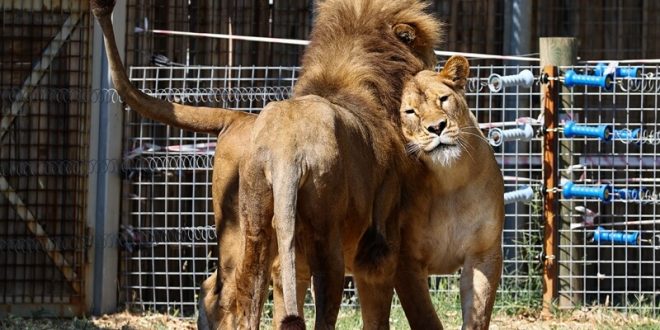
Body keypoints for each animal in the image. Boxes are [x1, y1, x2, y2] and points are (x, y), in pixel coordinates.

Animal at [86, 0, 438, 328]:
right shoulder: (379, 250)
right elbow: (383, 314)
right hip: (325, 241)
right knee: (315, 310)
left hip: (249, 229)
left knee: (233, 294)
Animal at [398, 58, 506, 328]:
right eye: (410, 112)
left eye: (444, 99)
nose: (437, 127)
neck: (448, 182)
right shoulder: (404, 260)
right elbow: (424, 317)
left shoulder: (483, 253)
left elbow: (478, 313)